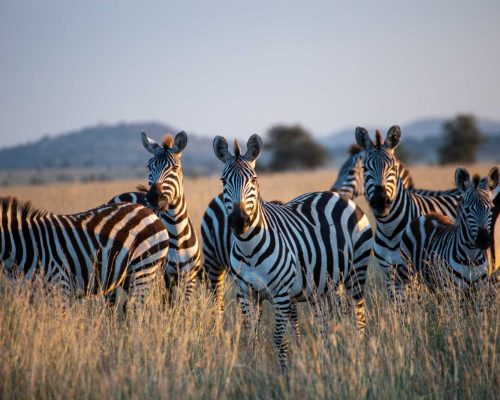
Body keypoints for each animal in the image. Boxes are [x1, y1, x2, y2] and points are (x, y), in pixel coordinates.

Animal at [108, 131, 200, 300]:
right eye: (149, 166)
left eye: (175, 167)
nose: (153, 197)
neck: (177, 233)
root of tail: (125, 194)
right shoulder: (161, 278)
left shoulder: (189, 278)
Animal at [213, 134, 374, 372]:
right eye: (224, 181)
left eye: (254, 180)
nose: (239, 221)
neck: (249, 249)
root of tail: (339, 196)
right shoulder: (246, 293)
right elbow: (251, 337)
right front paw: (253, 369)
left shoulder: (280, 294)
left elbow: (280, 338)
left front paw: (284, 374)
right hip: (327, 285)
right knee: (330, 322)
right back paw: (331, 356)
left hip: (357, 273)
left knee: (359, 317)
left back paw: (359, 356)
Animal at [356, 126, 460, 298]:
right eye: (364, 168)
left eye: (393, 168)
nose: (380, 202)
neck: (389, 230)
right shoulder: (390, 276)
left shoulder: (417, 275)